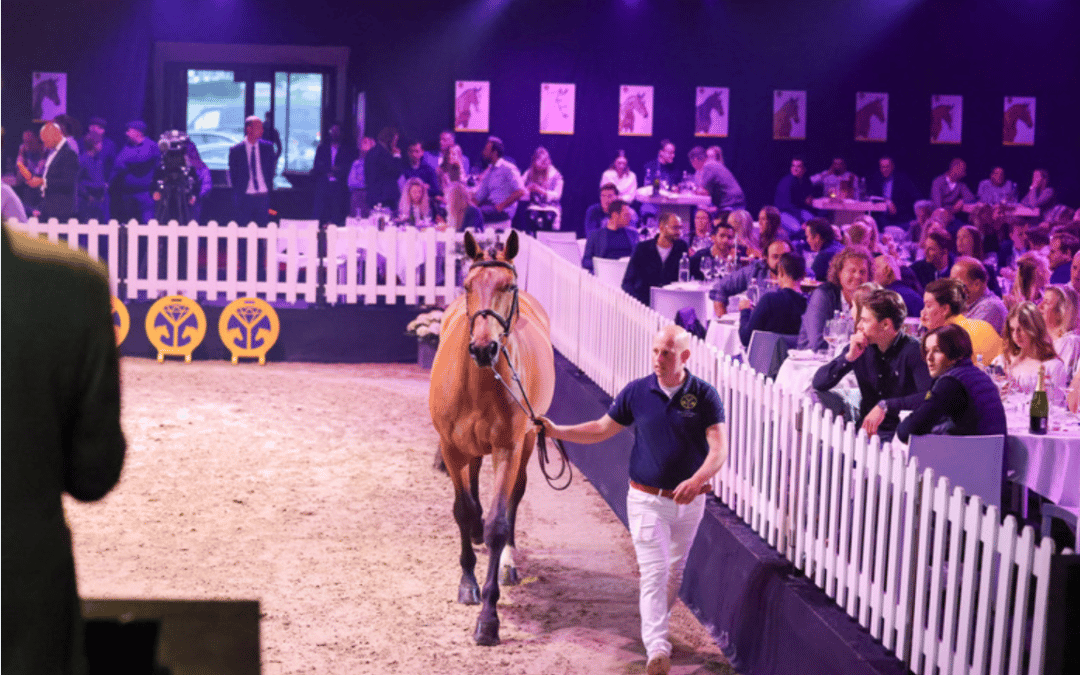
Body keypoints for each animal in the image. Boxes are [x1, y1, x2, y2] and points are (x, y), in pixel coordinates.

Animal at [427, 233, 557, 648]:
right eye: (468, 286)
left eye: (508, 287)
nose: (484, 348)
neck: (479, 382)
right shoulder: (451, 448)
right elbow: (463, 509)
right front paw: (467, 582)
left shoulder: (509, 449)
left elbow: (499, 523)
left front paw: (488, 617)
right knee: (472, 480)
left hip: (528, 444)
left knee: (516, 495)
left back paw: (509, 564)